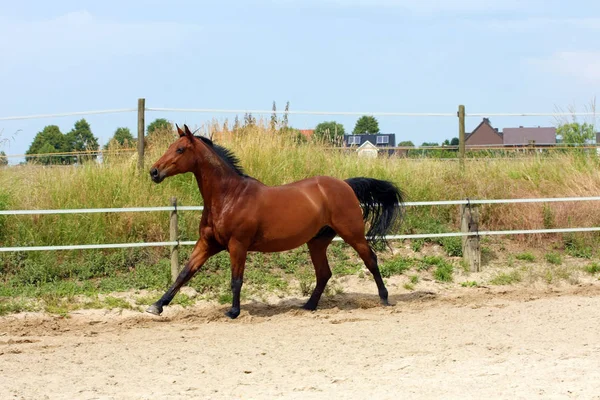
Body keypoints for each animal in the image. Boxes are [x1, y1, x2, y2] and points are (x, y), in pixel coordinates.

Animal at [148, 123, 406, 318]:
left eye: (180, 149)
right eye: (171, 146)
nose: (154, 172)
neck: (229, 196)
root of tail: (345, 184)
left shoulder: (237, 245)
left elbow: (236, 279)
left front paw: (233, 311)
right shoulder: (208, 243)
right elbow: (184, 273)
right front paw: (157, 306)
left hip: (353, 234)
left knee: (371, 260)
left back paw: (384, 299)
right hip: (317, 242)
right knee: (324, 273)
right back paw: (308, 306)